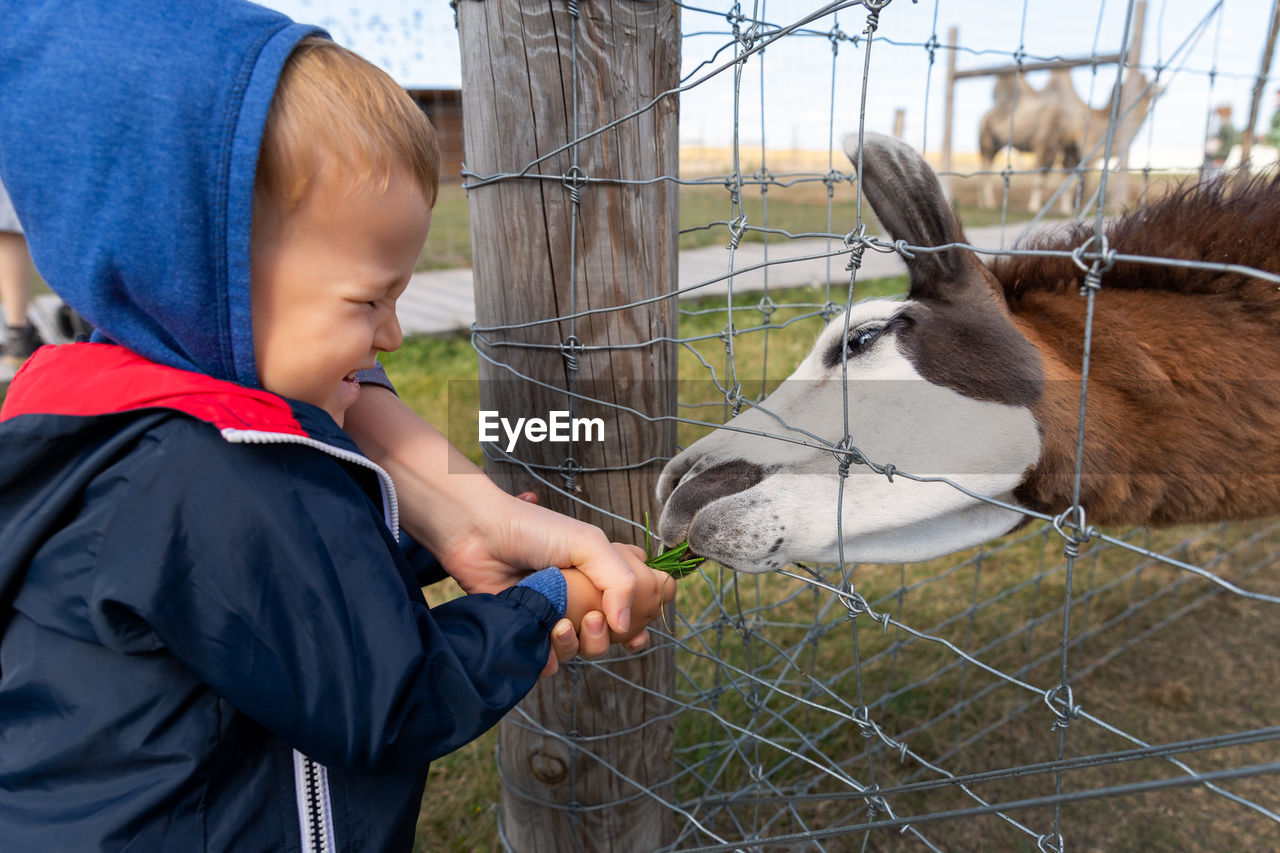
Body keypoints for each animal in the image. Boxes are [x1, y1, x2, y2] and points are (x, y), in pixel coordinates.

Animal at [977, 70, 1162, 216]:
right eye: (1141, 82)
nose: (1160, 87)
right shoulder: (1047, 141)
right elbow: (1042, 176)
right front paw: (1034, 207)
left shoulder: (1072, 149)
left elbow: (1069, 181)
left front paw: (1066, 209)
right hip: (986, 136)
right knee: (986, 166)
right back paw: (989, 203)